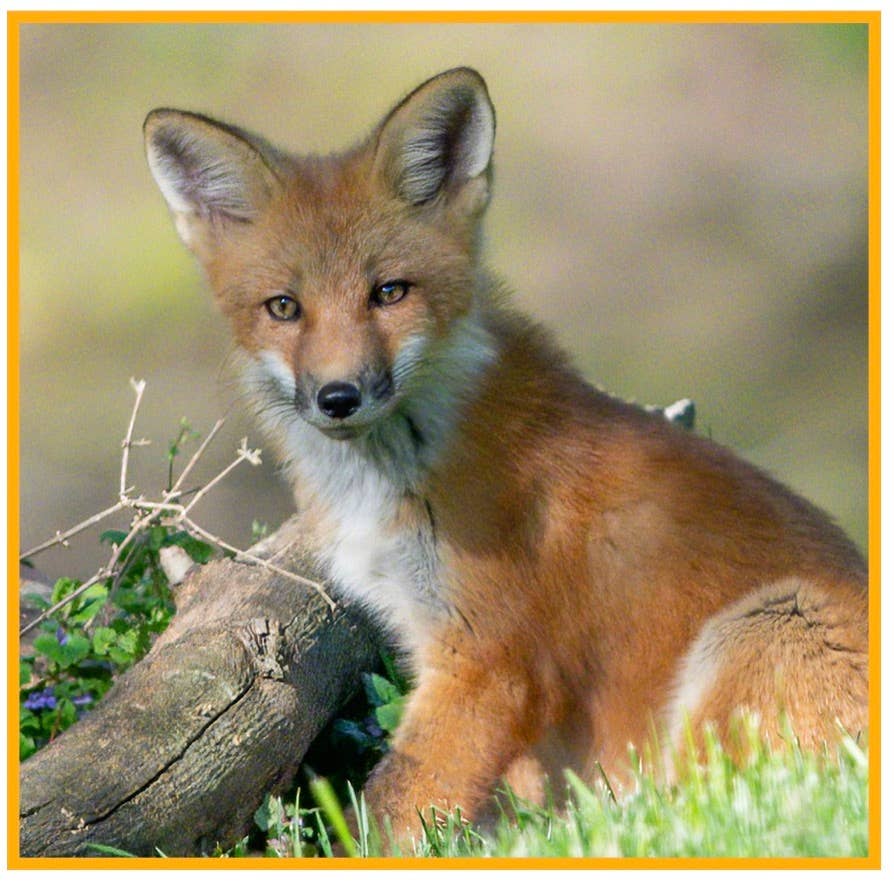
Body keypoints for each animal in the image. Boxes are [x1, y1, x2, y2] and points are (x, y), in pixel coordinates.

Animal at [144, 67, 868, 843]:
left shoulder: (490, 663)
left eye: (389, 292)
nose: (338, 396)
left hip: (768, 624)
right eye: (284, 308)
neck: (394, 473)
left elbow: (392, 812)